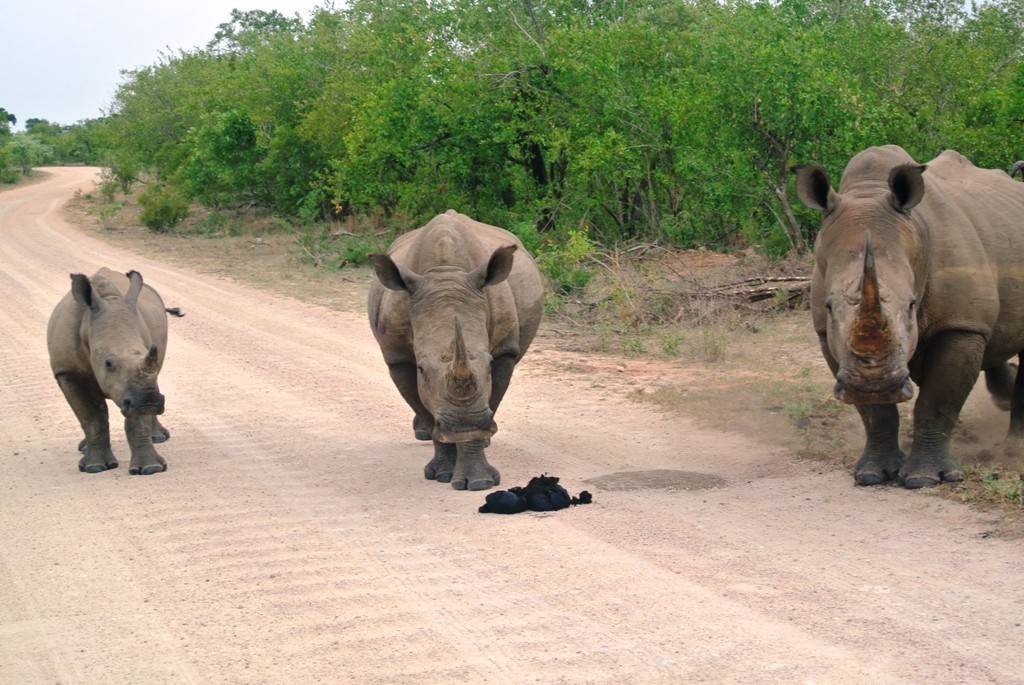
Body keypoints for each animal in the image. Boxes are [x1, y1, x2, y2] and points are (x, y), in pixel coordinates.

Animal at [47, 268, 181, 475]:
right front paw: (95, 468)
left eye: (150, 352)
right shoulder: (66, 371)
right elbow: (90, 417)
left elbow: (137, 419)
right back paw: (84, 449)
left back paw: (158, 438)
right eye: (108, 363)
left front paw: (150, 469)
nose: (148, 402)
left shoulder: (140, 383)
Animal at [368, 210, 544, 489]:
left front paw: (479, 479)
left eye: (489, 363)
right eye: (421, 369)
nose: (464, 426)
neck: (445, 274)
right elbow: (425, 407)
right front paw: (442, 473)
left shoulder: (505, 351)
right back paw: (424, 433)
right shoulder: (398, 357)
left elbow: (490, 397)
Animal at [794, 144, 1024, 485]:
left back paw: (1012, 450)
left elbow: (937, 401)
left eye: (912, 305)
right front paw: (872, 474)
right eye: (829, 307)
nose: (875, 386)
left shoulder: (960, 327)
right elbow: (875, 413)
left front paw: (924, 479)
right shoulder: (826, 334)